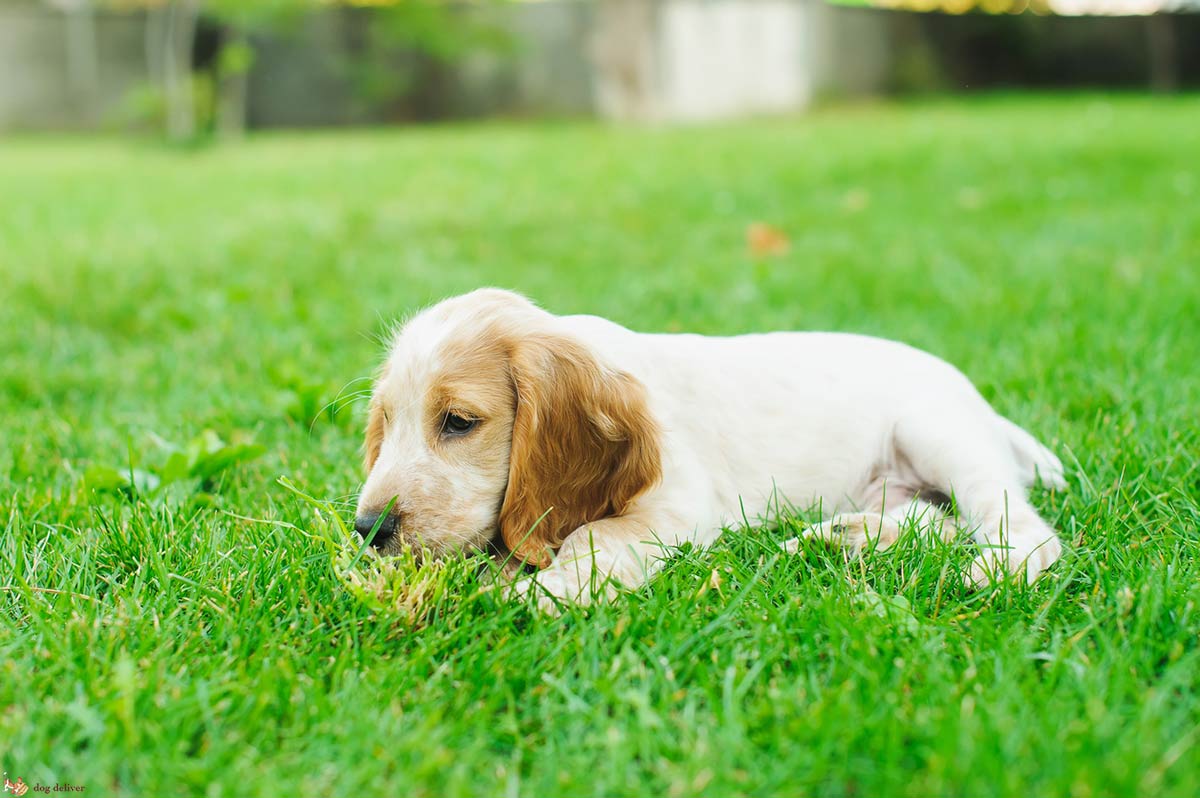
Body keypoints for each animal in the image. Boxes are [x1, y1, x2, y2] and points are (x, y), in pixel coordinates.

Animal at [350, 289, 1065, 607]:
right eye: (387, 422)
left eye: (458, 422)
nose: (369, 530)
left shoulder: (675, 505)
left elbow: (592, 538)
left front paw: (535, 595)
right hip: (896, 483)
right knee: (930, 521)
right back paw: (839, 539)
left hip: (939, 433)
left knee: (1019, 526)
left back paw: (991, 571)